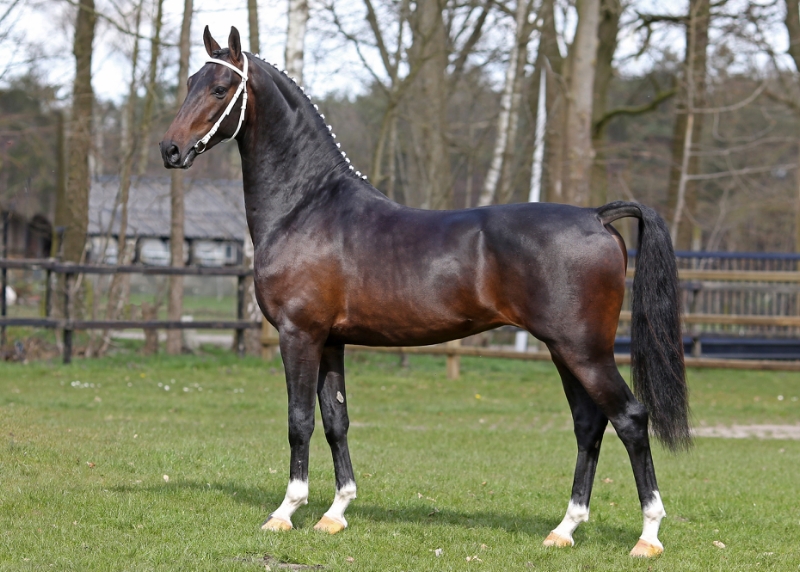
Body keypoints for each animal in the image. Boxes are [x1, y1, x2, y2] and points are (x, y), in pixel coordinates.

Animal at [159, 26, 692, 560]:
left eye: (220, 89)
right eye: (189, 82)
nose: (170, 149)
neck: (306, 206)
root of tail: (597, 216)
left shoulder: (299, 336)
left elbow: (299, 421)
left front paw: (285, 513)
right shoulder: (330, 341)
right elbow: (335, 421)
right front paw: (335, 513)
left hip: (585, 351)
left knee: (630, 418)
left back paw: (647, 536)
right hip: (566, 352)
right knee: (588, 424)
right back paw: (564, 529)